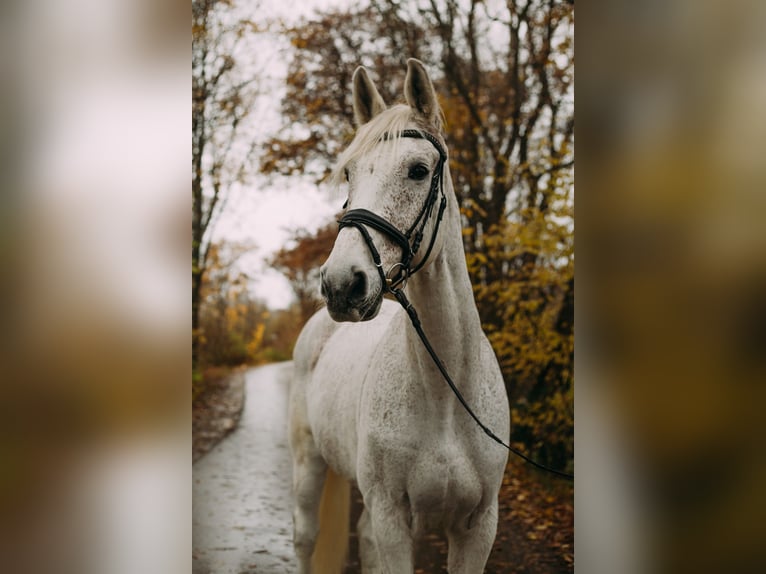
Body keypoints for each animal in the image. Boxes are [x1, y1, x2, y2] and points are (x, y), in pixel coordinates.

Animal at [288, 59, 510, 574]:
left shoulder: (477, 529)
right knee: (305, 537)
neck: (446, 398)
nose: (340, 284)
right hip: (309, 464)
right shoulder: (393, 519)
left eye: (418, 170)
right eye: (349, 174)